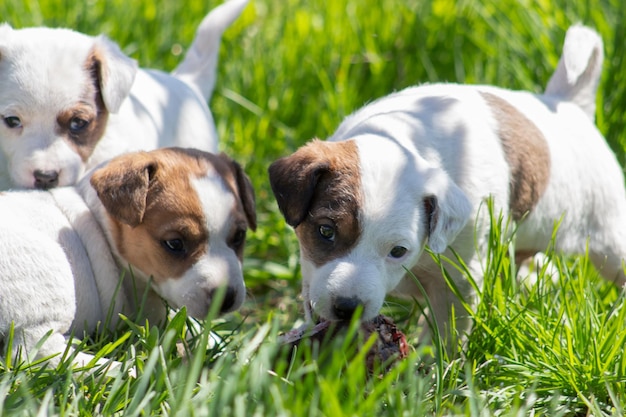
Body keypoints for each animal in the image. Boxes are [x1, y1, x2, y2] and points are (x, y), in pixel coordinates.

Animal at [266, 23, 624, 354]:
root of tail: (568, 104)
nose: (348, 308)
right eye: (326, 231)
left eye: (398, 251)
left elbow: (447, 334)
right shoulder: (313, 272)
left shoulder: (459, 282)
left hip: (610, 240)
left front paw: (429, 369)